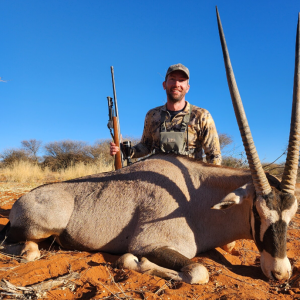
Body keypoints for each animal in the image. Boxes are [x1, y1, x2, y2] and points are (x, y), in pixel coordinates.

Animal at [0, 8, 298, 284]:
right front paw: (134, 261)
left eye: (292, 215)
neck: (197, 199)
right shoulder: (151, 243)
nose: (280, 273)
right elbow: (197, 270)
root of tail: (21, 199)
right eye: (257, 212)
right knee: (27, 250)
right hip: (40, 227)